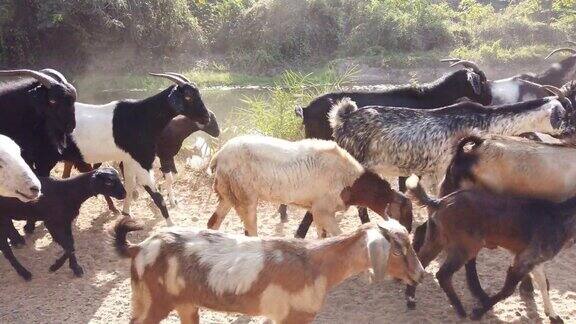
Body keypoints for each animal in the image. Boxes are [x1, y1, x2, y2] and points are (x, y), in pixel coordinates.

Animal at [113, 216, 428, 324]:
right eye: (397, 250)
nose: (421, 274)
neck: (315, 264)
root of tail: (139, 247)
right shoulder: (293, 317)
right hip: (153, 301)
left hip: (184, 304)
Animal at [205, 135, 412, 237]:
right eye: (404, 213)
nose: (409, 232)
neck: (352, 182)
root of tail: (219, 156)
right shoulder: (322, 210)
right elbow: (338, 235)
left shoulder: (318, 210)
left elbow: (323, 236)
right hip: (245, 196)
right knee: (251, 231)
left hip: (228, 194)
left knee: (213, 222)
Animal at [404, 176, 576, 322]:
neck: (561, 217)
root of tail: (439, 202)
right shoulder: (523, 260)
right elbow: (508, 290)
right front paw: (478, 312)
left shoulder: (535, 260)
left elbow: (544, 284)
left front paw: (553, 315)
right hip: (466, 248)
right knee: (443, 274)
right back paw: (460, 309)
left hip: (436, 240)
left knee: (421, 263)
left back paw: (410, 298)